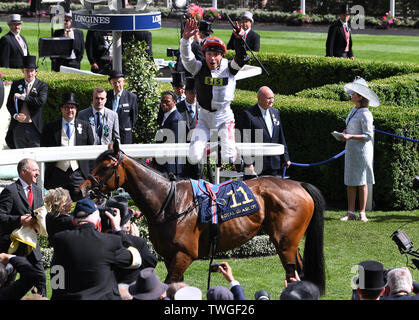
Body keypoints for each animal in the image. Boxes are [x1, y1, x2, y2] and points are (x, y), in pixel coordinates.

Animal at [79, 141, 328, 296]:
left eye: (106, 165)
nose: (82, 189)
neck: (170, 202)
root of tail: (299, 185)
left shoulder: (184, 255)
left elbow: (170, 285)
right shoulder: (169, 256)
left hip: (285, 243)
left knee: (293, 273)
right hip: (288, 243)